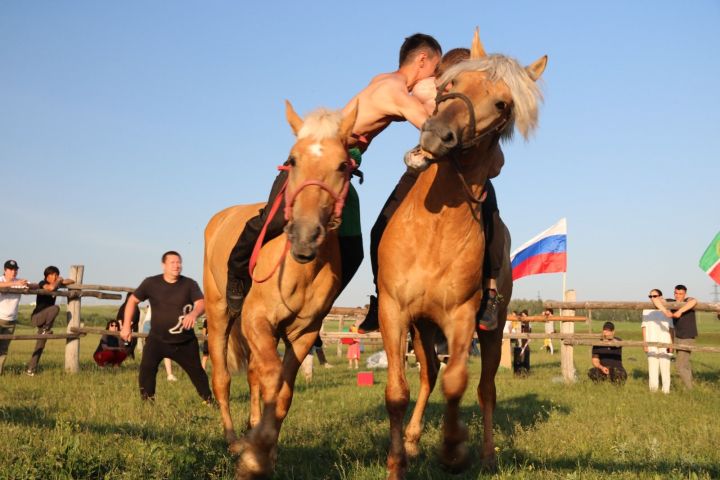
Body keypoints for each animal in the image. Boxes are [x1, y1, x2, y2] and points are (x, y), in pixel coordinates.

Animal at [202, 102, 358, 480]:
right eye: (293, 160)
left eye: (342, 165)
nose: (304, 235)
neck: (299, 270)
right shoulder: (257, 321)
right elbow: (273, 381)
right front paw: (254, 457)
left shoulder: (303, 334)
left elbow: (283, 392)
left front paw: (265, 447)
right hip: (219, 315)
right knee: (222, 379)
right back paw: (234, 440)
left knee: (253, 376)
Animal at [376, 31, 544, 478]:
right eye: (452, 84)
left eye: (502, 104)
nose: (437, 134)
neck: (434, 232)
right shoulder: (394, 311)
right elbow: (398, 391)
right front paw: (397, 461)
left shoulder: (463, 317)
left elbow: (458, 384)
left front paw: (453, 449)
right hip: (421, 329)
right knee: (428, 376)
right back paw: (413, 441)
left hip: (493, 329)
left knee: (485, 388)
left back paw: (485, 455)